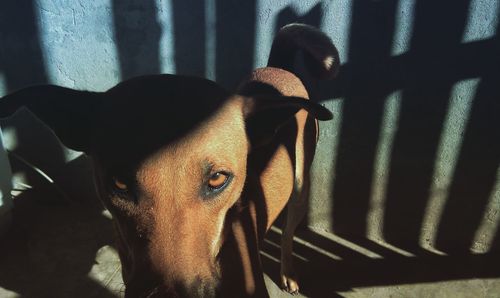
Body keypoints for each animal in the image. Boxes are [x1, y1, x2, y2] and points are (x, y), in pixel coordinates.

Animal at [0, 24, 340, 296]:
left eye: (217, 179)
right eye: (119, 183)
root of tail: (278, 68)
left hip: (300, 189)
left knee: (289, 234)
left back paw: (288, 272)